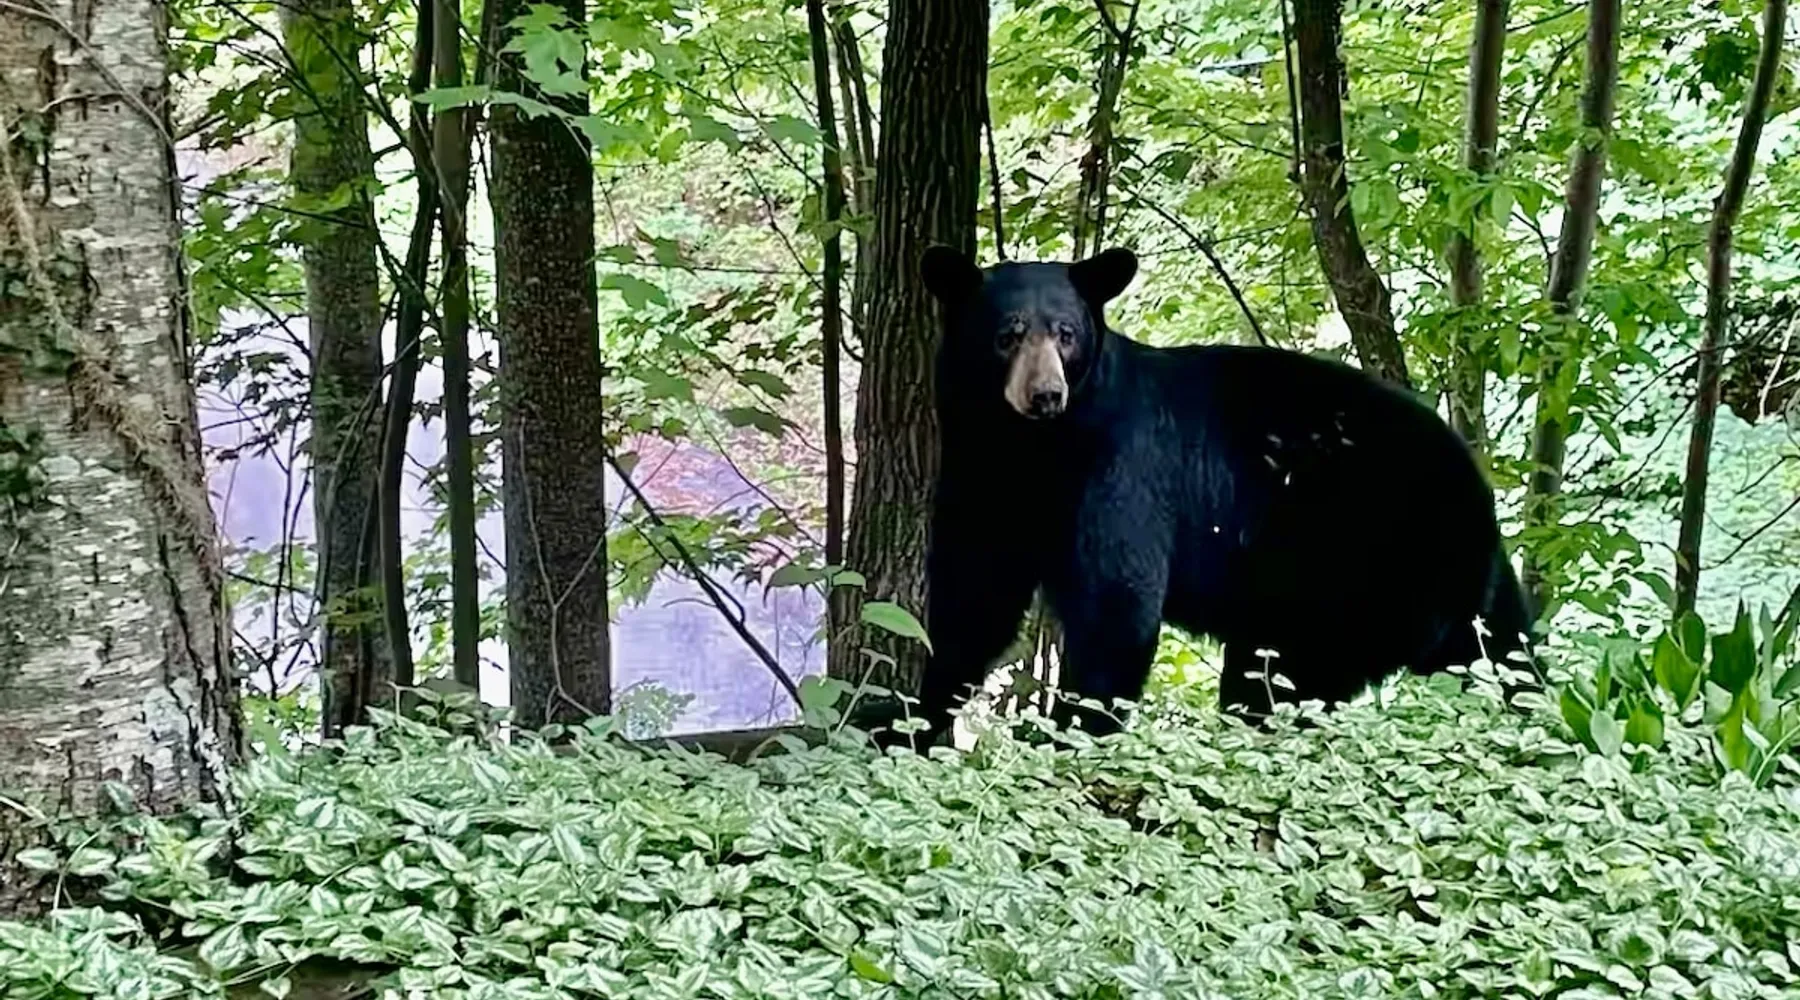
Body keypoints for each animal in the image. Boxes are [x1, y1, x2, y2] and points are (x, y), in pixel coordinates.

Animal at [901, 244, 1535, 749]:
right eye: (1007, 335)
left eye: (1066, 333)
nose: (1046, 394)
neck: (1032, 449)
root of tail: (1479, 497)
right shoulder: (985, 478)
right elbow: (972, 599)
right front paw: (909, 718)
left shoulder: (1120, 463)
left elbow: (1117, 600)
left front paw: (1073, 734)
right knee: (1502, 653)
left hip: (1354, 564)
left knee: (1286, 675)